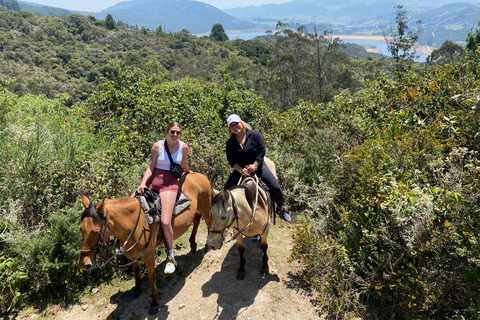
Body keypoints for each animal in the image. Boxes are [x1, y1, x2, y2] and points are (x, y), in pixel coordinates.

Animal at [78, 174, 211, 314]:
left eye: (96, 231)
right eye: (81, 229)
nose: (84, 264)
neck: (133, 223)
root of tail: (198, 175)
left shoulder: (148, 255)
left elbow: (152, 278)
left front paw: (154, 302)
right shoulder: (132, 254)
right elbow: (136, 271)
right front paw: (137, 289)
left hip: (205, 207)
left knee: (208, 221)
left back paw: (207, 245)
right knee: (196, 219)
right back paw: (193, 244)